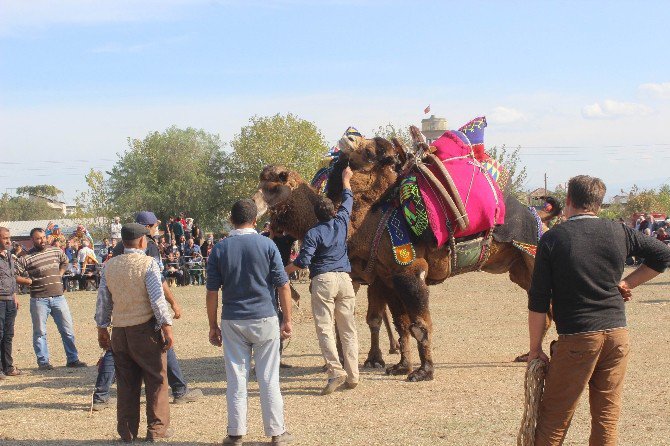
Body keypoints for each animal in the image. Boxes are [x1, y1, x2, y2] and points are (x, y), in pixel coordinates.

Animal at [255, 135, 560, 380]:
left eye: (272, 185)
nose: (251, 205)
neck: (366, 221)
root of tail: (540, 217)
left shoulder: (409, 270)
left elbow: (419, 325)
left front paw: (423, 372)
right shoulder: (387, 276)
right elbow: (400, 323)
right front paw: (400, 365)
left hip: (532, 255)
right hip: (517, 269)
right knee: (543, 310)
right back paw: (530, 355)